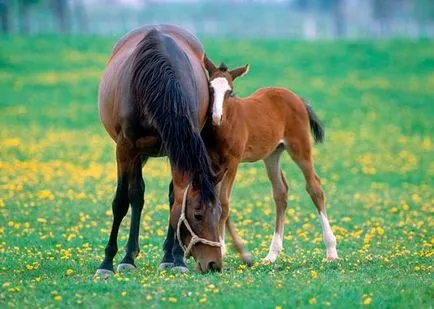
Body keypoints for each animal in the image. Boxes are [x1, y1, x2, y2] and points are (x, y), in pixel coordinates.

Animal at [96, 24, 222, 274]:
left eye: (220, 214)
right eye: (198, 215)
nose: (214, 264)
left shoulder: (178, 144)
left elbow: (178, 200)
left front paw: (177, 259)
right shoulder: (125, 148)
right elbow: (121, 202)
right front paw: (108, 262)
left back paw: (167, 256)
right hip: (136, 154)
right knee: (136, 195)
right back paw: (128, 257)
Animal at [203, 55, 340, 262]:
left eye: (230, 92)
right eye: (210, 88)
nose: (216, 117)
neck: (223, 127)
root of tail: (296, 97)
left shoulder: (233, 163)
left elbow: (224, 203)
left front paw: (222, 249)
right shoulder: (213, 163)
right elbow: (215, 202)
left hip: (300, 147)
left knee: (314, 187)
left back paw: (331, 250)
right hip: (272, 154)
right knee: (280, 193)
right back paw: (272, 254)